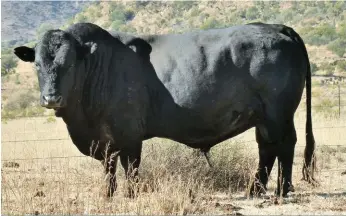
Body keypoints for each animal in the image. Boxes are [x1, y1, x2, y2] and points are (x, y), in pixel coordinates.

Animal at [13, 22, 316, 197]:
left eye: (69, 64)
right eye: (37, 64)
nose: (51, 98)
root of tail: (277, 27)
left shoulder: (129, 135)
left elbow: (131, 168)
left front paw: (131, 195)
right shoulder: (106, 139)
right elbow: (109, 168)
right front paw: (107, 195)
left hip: (278, 113)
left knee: (285, 145)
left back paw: (282, 190)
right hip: (263, 117)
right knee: (267, 148)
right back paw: (256, 190)